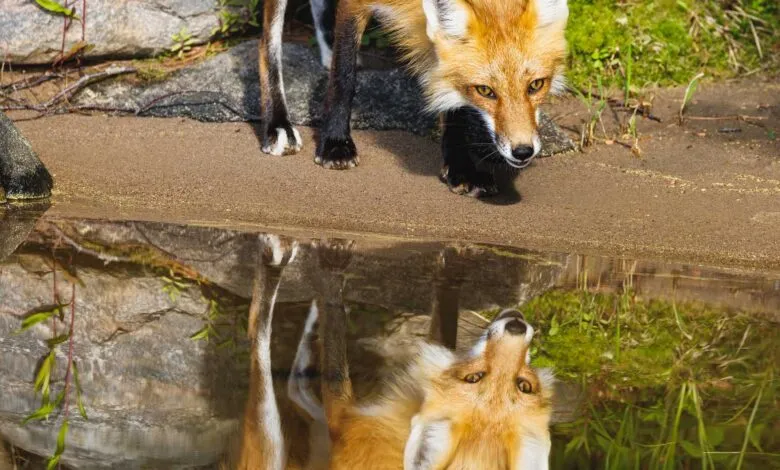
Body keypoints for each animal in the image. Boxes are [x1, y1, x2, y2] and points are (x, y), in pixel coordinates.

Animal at [231, 236, 554, 469]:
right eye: (525, 385)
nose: (517, 326)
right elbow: (444, 316)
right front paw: (453, 266)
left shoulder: (344, 419)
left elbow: (334, 341)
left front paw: (332, 266)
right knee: (295, 383)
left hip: (271, 446)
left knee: (258, 336)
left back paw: (274, 258)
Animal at [258, 0, 569, 197]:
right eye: (485, 91)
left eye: (536, 85)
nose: (523, 151)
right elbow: (344, 76)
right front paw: (335, 144)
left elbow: (452, 97)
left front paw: (461, 168)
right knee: (267, 40)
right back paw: (278, 125)